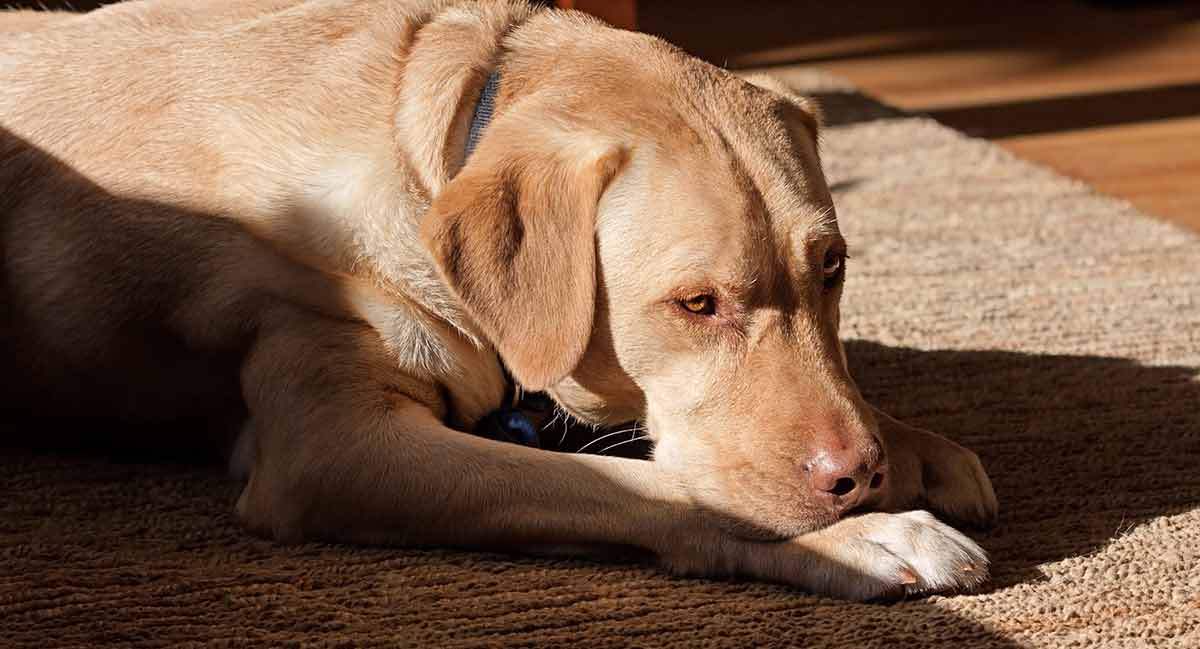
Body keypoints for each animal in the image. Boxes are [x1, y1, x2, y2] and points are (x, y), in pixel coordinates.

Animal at [0, 0, 998, 602]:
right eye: (696, 304)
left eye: (832, 267)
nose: (858, 475)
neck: (428, 146)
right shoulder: (330, 444)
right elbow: (636, 484)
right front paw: (870, 534)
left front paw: (916, 446)